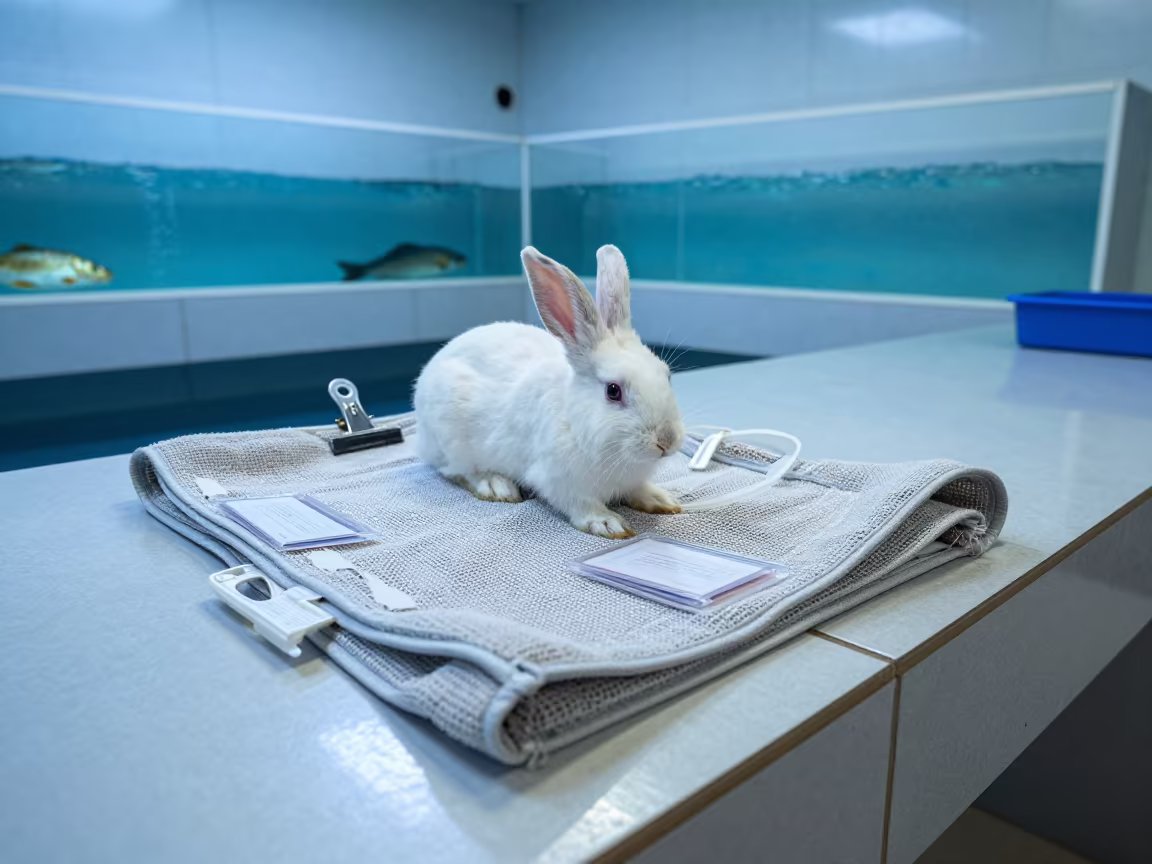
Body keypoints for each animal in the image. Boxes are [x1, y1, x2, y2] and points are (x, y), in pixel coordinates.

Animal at [413, 244, 685, 538]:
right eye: (613, 391)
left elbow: (638, 490)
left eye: (667, 375)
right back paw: (497, 486)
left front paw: (661, 500)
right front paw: (608, 524)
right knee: (457, 471)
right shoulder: (559, 479)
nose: (667, 441)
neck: (575, 423)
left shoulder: (632, 480)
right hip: (452, 439)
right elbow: (581, 504)